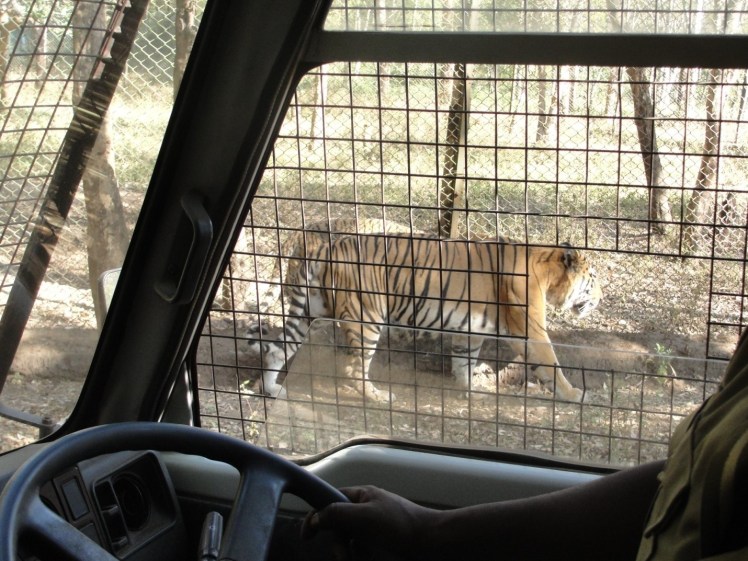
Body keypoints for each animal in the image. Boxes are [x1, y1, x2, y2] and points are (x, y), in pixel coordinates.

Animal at [254, 234, 602, 402]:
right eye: (593, 279)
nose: (600, 298)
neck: (546, 270)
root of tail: (326, 247)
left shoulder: (469, 331)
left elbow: (463, 362)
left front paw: (471, 390)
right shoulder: (532, 331)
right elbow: (552, 364)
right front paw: (576, 395)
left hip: (309, 311)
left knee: (276, 350)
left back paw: (272, 390)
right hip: (367, 319)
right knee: (353, 369)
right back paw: (379, 397)